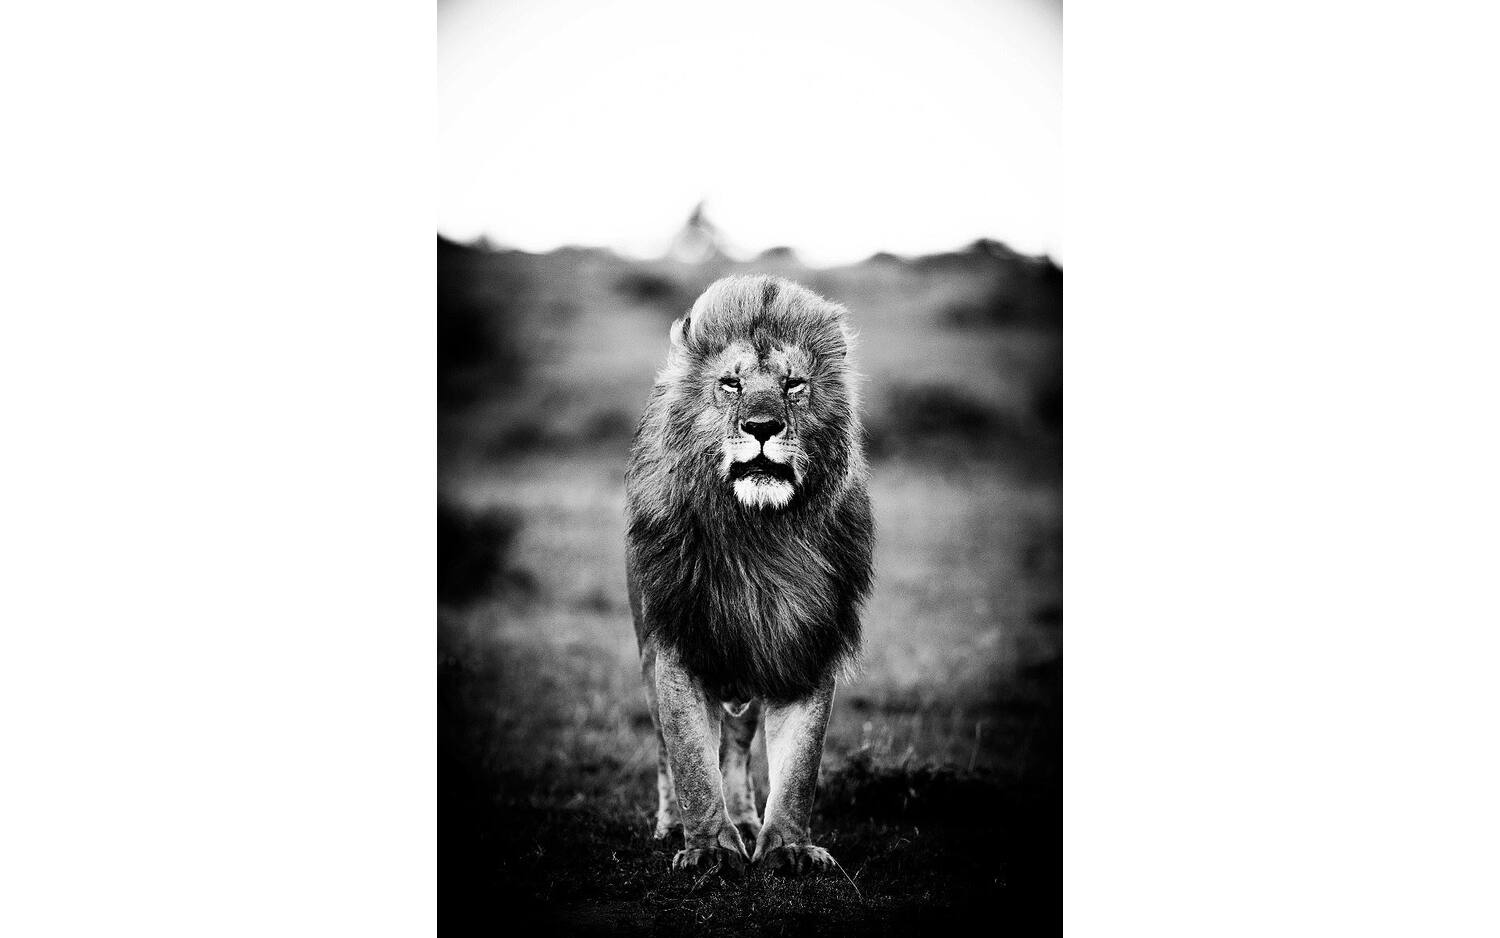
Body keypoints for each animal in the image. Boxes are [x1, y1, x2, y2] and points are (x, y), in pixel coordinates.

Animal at [624, 275, 875, 876]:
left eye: (793, 384)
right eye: (731, 383)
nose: (762, 427)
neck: (758, 534)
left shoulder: (803, 638)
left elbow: (799, 764)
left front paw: (787, 846)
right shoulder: (677, 642)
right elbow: (691, 758)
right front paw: (708, 850)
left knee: (736, 747)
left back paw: (743, 818)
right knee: (666, 747)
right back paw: (672, 826)